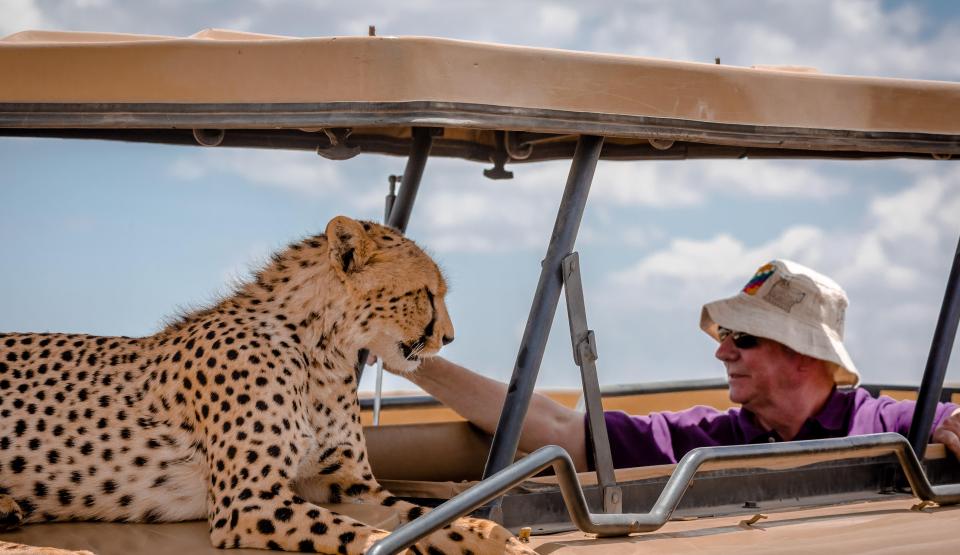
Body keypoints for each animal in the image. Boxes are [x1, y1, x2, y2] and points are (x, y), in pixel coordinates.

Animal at [0, 217, 532, 555]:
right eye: (426, 294)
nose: (449, 337)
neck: (321, 348)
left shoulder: (348, 483)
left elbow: (424, 514)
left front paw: (494, 535)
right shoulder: (249, 501)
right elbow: (372, 536)